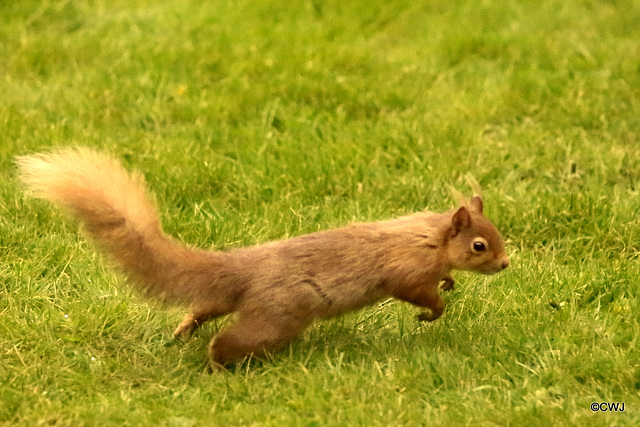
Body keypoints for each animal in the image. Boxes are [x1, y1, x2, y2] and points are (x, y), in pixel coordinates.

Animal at [16, 149, 510, 370]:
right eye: (479, 246)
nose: (505, 265)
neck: (430, 236)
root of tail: (244, 268)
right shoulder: (406, 269)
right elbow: (418, 294)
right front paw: (434, 311)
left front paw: (449, 283)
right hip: (276, 318)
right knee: (230, 339)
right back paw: (216, 364)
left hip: (232, 302)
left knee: (203, 306)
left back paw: (183, 331)